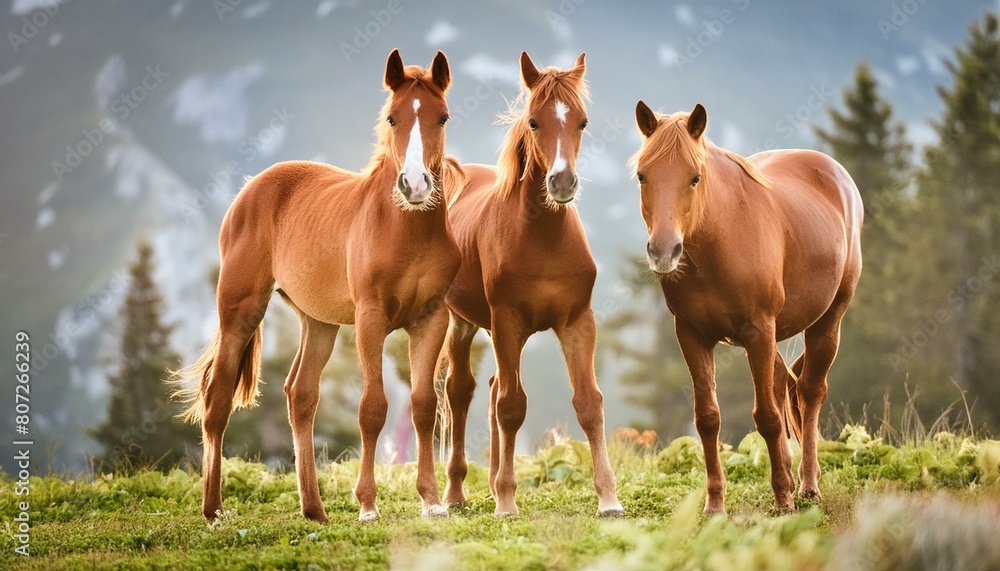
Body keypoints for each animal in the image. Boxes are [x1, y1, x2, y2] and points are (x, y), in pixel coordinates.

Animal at [171, 50, 462, 523]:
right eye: (393, 117)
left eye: (442, 117)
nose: (415, 185)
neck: (406, 230)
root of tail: (248, 190)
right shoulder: (370, 318)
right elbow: (373, 408)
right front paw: (367, 506)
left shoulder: (431, 318)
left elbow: (423, 406)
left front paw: (432, 501)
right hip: (240, 310)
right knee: (217, 400)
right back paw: (213, 511)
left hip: (318, 322)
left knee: (300, 395)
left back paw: (314, 510)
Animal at [441, 52, 623, 517]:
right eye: (534, 122)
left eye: (582, 122)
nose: (562, 182)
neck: (543, 241)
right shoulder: (507, 322)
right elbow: (512, 407)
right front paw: (507, 501)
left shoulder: (577, 322)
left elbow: (588, 403)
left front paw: (609, 499)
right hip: (464, 323)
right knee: (461, 392)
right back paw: (456, 493)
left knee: (489, 390)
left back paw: (489, 483)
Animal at [630, 101, 863, 513]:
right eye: (643, 176)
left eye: (695, 177)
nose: (663, 251)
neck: (719, 242)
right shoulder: (691, 335)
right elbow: (707, 418)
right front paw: (715, 506)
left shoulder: (758, 330)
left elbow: (767, 417)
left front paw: (783, 501)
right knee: (784, 382)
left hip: (827, 320)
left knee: (809, 391)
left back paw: (807, 486)